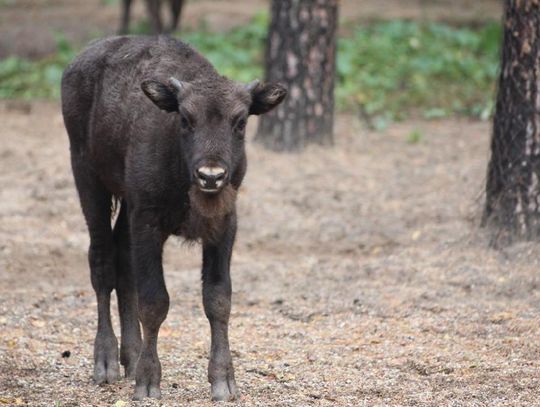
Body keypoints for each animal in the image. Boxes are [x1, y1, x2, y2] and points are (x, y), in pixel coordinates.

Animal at [60, 35, 284, 402]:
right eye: (185, 118)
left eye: (240, 121)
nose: (211, 176)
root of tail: (78, 62)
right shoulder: (148, 224)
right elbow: (155, 301)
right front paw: (148, 383)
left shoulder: (223, 227)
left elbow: (218, 299)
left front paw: (224, 382)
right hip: (88, 180)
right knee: (102, 263)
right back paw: (106, 363)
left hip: (125, 205)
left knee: (123, 263)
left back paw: (131, 356)